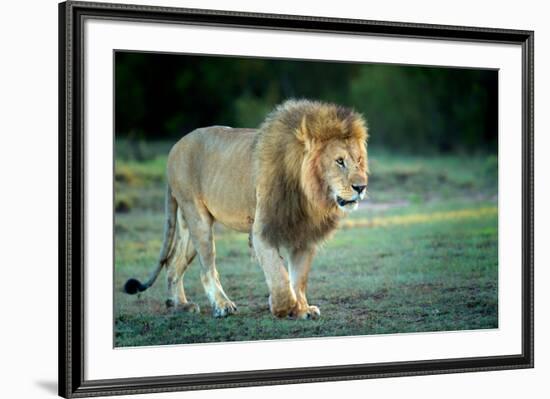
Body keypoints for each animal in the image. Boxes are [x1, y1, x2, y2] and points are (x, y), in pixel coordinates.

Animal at [125, 101, 370, 322]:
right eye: (339, 161)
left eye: (359, 160)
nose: (361, 187)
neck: (309, 195)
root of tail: (175, 147)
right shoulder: (262, 230)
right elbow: (279, 274)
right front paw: (283, 307)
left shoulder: (305, 235)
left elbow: (298, 278)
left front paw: (302, 309)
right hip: (197, 217)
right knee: (207, 269)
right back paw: (222, 306)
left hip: (186, 224)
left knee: (173, 264)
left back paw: (180, 305)